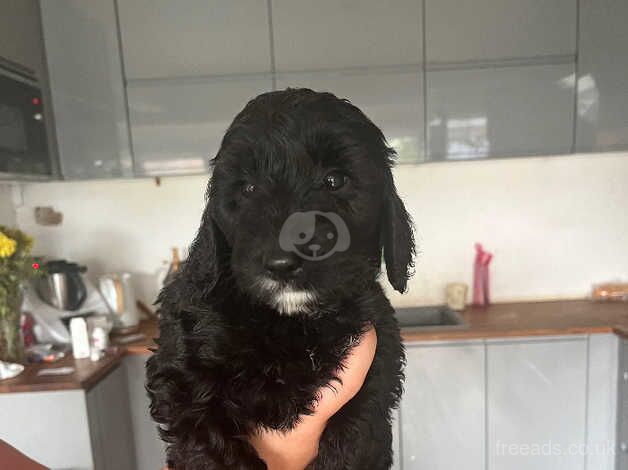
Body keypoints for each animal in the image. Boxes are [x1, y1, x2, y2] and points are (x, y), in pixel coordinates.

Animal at [146, 89, 412, 470]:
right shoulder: (179, 375)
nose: (282, 263)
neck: (289, 321)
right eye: (248, 188)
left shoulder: (378, 366)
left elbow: (353, 436)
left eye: (335, 180)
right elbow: (210, 445)